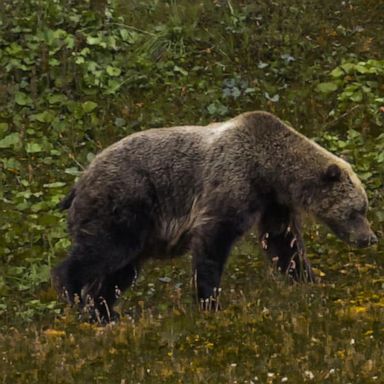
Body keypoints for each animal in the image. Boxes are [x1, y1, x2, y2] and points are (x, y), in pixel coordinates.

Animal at [53, 111, 378, 320]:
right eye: (356, 210)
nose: (370, 238)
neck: (269, 170)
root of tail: (79, 180)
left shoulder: (272, 202)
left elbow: (284, 244)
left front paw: (308, 281)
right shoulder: (232, 182)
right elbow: (214, 241)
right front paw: (211, 303)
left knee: (121, 270)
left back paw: (106, 313)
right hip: (124, 202)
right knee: (105, 249)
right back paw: (74, 295)